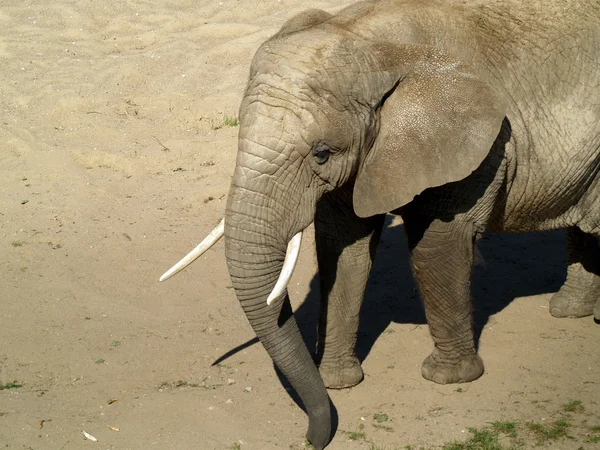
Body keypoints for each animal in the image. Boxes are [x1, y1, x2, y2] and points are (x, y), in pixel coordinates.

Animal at [159, 1, 600, 448]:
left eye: (321, 153)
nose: (314, 436)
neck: (374, 42)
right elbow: (343, 249)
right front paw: (335, 382)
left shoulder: (480, 146)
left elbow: (437, 243)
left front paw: (448, 378)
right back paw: (569, 312)